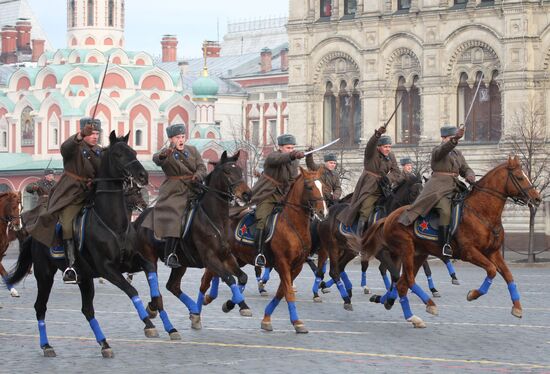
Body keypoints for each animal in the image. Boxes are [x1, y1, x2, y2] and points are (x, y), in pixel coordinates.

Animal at [6, 131, 160, 356]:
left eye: (133, 151)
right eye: (118, 154)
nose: (143, 176)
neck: (113, 223)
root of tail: (34, 235)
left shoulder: (128, 262)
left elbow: (149, 268)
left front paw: (154, 306)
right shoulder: (107, 268)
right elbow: (132, 291)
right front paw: (148, 323)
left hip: (85, 278)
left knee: (87, 310)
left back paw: (104, 344)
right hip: (45, 275)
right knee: (40, 307)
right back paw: (46, 345)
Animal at [133, 150, 253, 328]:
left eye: (239, 169)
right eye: (227, 171)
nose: (246, 194)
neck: (214, 218)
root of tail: (140, 219)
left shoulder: (226, 256)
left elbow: (242, 277)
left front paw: (238, 305)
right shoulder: (210, 259)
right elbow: (230, 278)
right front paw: (231, 304)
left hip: (181, 263)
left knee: (172, 286)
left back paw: (191, 312)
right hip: (150, 259)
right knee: (157, 288)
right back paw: (157, 308)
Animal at [198, 167, 328, 334]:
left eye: (322, 186)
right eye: (309, 187)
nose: (323, 212)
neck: (292, 224)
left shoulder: (296, 266)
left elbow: (281, 292)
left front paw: (266, 318)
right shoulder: (283, 263)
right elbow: (288, 292)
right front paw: (297, 322)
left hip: (237, 259)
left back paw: (225, 302)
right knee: (206, 281)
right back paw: (198, 311)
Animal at [362, 156, 544, 328]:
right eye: (520, 177)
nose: (537, 199)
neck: (481, 213)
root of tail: (388, 218)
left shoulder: (493, 252)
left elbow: (508, 275)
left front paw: (517, 307)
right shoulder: (469, 252)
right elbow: (492, 271)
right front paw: (473, 294)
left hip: (419, 255)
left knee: (402, 284)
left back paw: (411, 315)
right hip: (406, 250)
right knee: (407, 281)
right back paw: (428, 304)